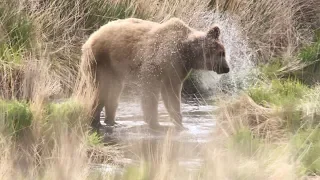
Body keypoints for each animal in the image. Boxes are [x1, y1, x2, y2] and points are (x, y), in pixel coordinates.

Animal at [80, 17, 230, 130]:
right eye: (221, 53)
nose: (227, 68)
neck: (187, 53)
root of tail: (90, 38)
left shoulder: (176, 70)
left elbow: (171, 96)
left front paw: (179, 123)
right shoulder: (160, 62)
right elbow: (151, 92)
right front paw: (156, 123)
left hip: (115, 70)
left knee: (113, 94)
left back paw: (112, 121)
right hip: (101, 62)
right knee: (100, 92)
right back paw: (95, 121)